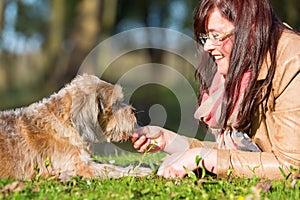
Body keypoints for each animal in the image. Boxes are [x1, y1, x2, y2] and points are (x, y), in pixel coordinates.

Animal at [0, 73, 150, 180]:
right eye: (115, 103)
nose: (134, 111)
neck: (67, 122)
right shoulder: (78, 167)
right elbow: (111, 168)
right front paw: (141, 170)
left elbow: (114, 165)